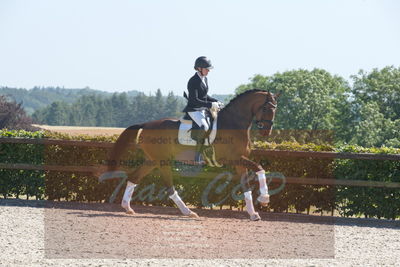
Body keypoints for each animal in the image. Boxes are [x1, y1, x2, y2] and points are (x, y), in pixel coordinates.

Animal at [99, 90, 278, 222]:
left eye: (275, 110)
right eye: (266, 108)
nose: (266, 131)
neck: (233, 123)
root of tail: (146, 124)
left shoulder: (240, 162)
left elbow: (246, 185)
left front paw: (253, 214)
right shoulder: (233, 158)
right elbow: (260, 168)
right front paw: (265, 198)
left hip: (152, 161)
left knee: (134, 177)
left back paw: (127, 207)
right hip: (162, 161)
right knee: (169, 187)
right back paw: (188, 212)